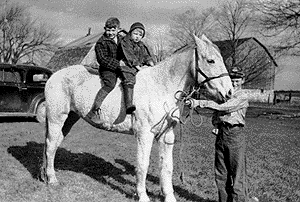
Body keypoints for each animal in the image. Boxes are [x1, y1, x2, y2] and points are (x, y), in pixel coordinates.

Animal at [40, 34, 232, 202]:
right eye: (211, 60)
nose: (229, 93)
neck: (161, 86)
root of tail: (53, 76)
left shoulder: (167, 135)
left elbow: (166, 167)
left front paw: (169, 196)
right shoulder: (144, 135)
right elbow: (142, 165)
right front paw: (142, 196)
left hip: (69, 119)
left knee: (54, 144)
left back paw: (45, 175)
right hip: (57, 118)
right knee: (50, 145)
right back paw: (52, 179)